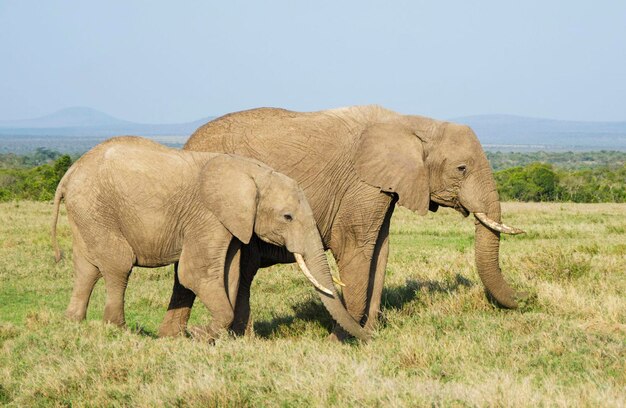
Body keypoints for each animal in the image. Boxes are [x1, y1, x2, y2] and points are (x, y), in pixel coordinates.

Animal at [51, 137, 368, 342]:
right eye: (287, 217)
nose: (370, 335)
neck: (252, 172)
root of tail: (69, 173)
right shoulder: (207, 215)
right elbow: (194, 273)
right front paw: (199, 334)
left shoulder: (231, 224)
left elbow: (230, 272)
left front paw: (215, 337)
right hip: (97, 209)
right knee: (118, 265)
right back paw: (119, 330)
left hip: (85, 213)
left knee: (86, 268)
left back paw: (73, 323)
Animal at [157, 104, 520, 338]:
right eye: (462, 168)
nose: (522, 300)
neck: (411, 123)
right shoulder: (361, 184)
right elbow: (356, 247)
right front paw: (345, 340)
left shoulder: (382, 187)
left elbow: (381, 251)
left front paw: (367, 335)